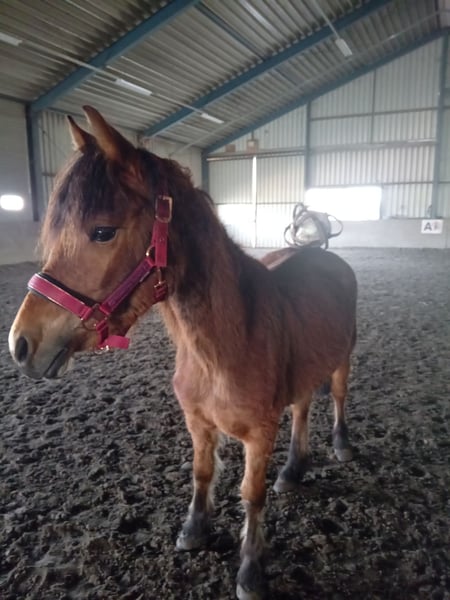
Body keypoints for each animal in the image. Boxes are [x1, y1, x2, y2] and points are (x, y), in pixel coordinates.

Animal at [8, 106, 357, 600]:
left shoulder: (259, 433)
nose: (21, 344)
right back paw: (293, 471)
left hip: (344, 357)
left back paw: (341, 446)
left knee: (339, 396)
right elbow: (201, 474)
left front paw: (251, 571)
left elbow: (251, 494)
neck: (222, 348)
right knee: (304, 407)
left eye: (102, 231)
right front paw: (194, 531)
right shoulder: (197, 422)